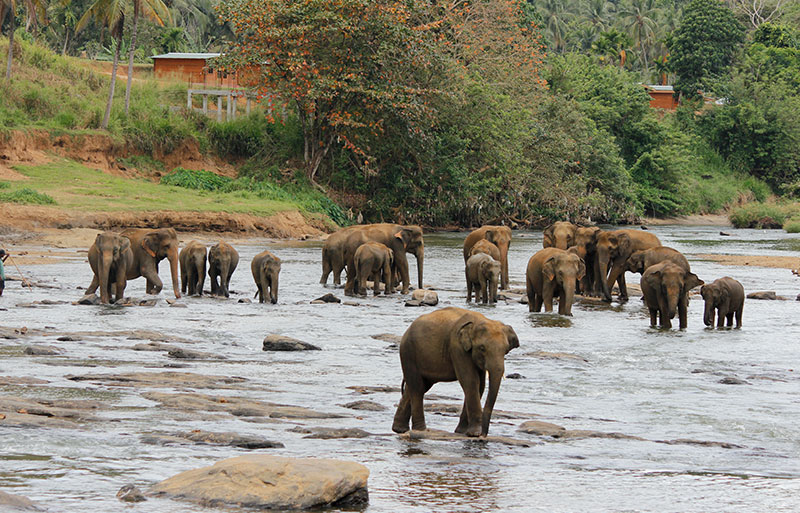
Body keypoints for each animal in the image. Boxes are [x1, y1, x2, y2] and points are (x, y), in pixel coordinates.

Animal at [391, 307, 519, 437]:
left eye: (505, 350)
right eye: (482, 348)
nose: (484, 434)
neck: (479, 321)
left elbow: (480, 385)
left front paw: (461, 432)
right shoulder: (457, 349)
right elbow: (470, 381)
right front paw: (475, 433)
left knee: (419, 386)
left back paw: (399, 429)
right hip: (408, 352)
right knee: (417, 388)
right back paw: (420, 430)